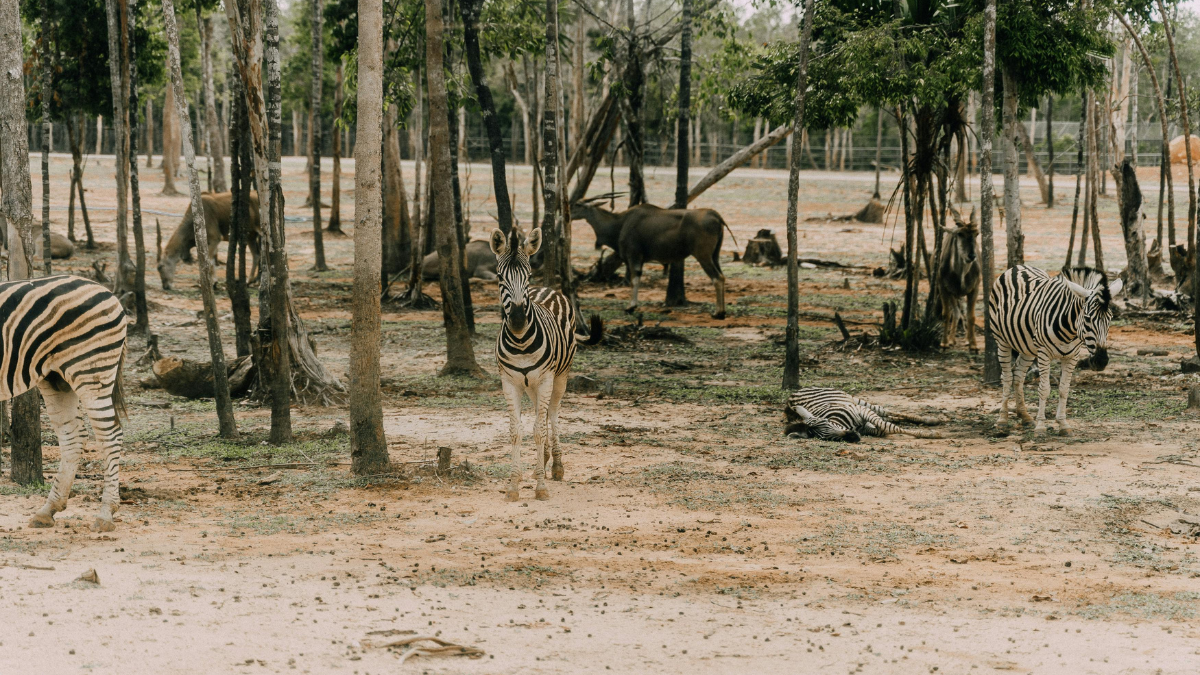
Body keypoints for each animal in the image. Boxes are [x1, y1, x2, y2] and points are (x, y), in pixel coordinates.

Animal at [0, 273, 129, 530]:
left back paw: (105, 514)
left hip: (91, 370)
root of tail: (107, 292)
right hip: (56, 378)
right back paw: (48, 510)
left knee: (110, 436)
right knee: (74, 436)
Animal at [487, 225, 600, 499]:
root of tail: (548, 288)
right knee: (544, 412)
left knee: (553, 412)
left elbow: (538, 429)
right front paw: (514, 484)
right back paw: (546, 459)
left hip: (559, 376)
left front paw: (540, 486)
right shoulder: (510, 382)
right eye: (500, 277)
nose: (518, 320)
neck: (520, 342)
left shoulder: (546, 379)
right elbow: (515, 431)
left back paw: (556, 464)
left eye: (527, 276)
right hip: (531, 385)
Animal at [787, 384, 945, 441]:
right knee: (887, 416)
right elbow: (884, 429)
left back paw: (931, 420)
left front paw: (932, 435)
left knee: (886, 411)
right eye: (827, 438)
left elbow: (889, 427)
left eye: (827, 424)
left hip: (855, 400)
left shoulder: (862, 411)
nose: (853, 436)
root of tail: (793, 393)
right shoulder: (867, 428)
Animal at [988, 263, 1118, 429]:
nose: (1101, 361)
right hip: (1002, 340)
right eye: (1088, 318)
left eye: (1110, 318)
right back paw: (1002, 419)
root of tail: (1017, 267)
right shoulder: (1044, 353)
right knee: (1006, 377)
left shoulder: (1072, 356)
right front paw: (1041, 426)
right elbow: (1044, 389)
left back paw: (1024, 416)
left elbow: (1064, 389)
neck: (1069, 331)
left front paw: (1063, 424)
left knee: (1018, 375)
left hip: (1027, 347)